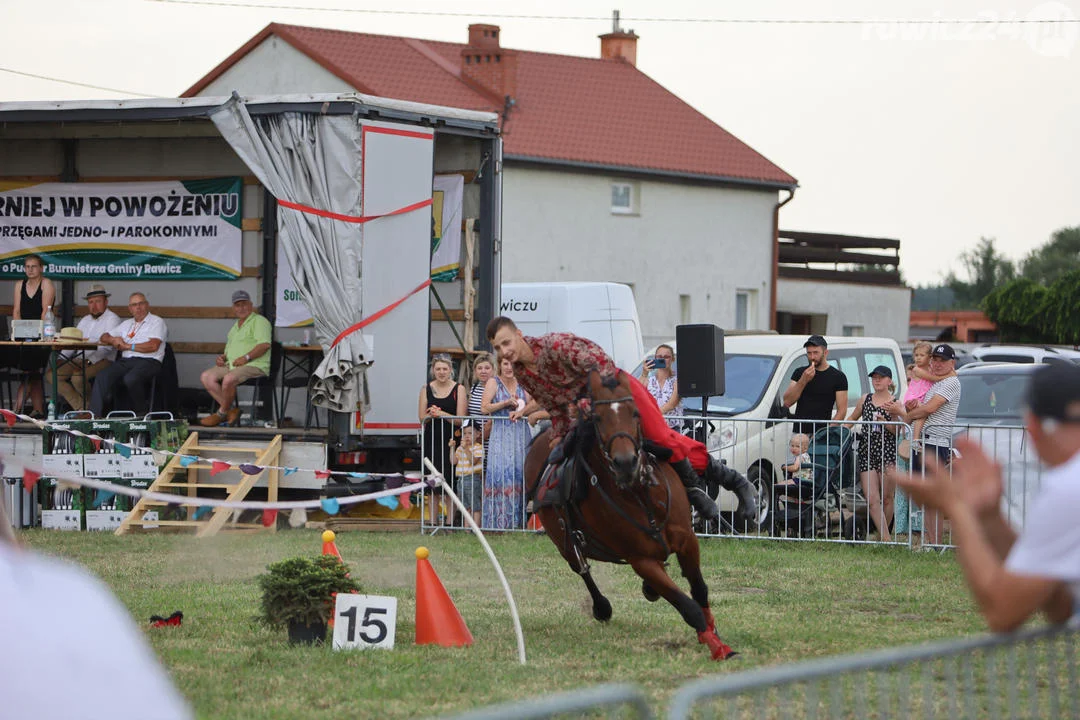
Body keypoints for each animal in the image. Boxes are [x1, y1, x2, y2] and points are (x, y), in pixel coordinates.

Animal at [520, 371, 738, 660]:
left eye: (635, 413)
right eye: (598, 418)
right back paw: (602, 606)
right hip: (564, 543)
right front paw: (716, 645)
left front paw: (713, 633)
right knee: (582, 568)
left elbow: (699, 590)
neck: (640, 495)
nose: (625, 463)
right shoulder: (641, 560)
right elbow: (687, 606)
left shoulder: (687, 541)